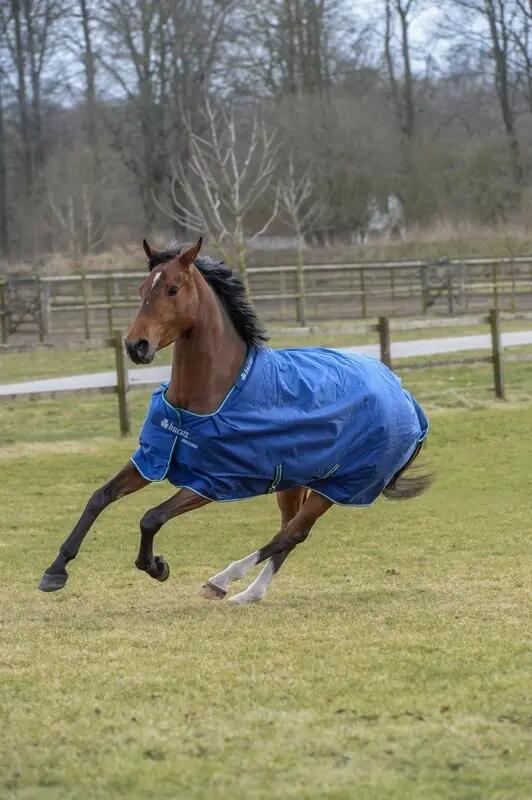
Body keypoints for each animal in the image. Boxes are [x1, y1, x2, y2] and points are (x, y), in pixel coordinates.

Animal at [39, 238, 432, 605]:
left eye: (172, 288)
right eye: (141, 289)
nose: (137, 346)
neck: (209, 396)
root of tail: (407, 398)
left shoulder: (210, 482)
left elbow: (150, 517)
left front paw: (156, 566)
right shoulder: (153, 458)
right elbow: (99, 497)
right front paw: (55, 572)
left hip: (339, 486)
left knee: (290, 534)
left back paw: (223, 581)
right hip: (296, 482)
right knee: (288, 533)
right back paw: (249, 593)